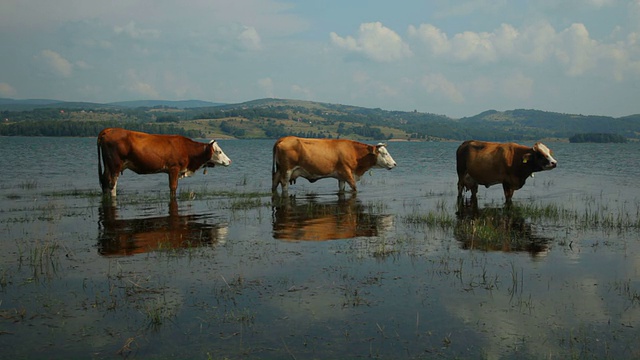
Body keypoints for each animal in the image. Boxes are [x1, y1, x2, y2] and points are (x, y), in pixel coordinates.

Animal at [96, 128, 231, 198]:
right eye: (219, 151)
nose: (229, 161)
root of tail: (110, 130)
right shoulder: (174, 168)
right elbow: (173, 187)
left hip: (108, 166)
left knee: (105, 183)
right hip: (115, 165)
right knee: (112, 184)